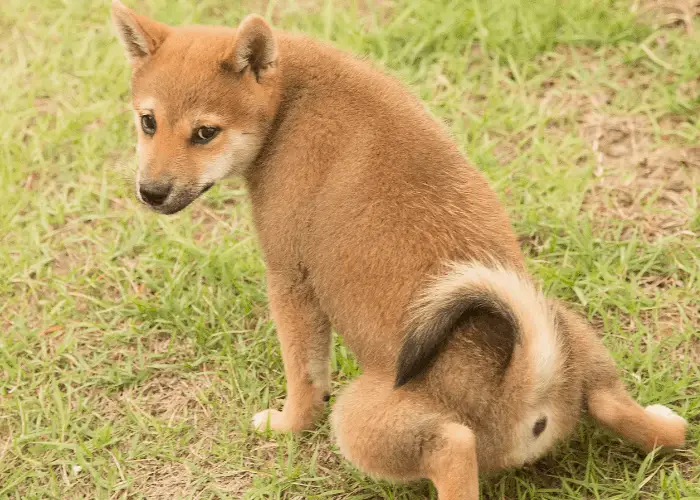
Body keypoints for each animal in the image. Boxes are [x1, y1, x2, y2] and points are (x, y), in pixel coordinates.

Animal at [112, 1, 688, 498]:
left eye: (205, 133)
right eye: (148, 122)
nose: (151, 192)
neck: (290, 101)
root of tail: (522, 389)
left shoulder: (289, 279)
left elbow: (304, 375)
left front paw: (286, 425)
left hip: (364, 419)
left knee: (453, 449)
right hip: (571, 336)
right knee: (641, 421)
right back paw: (665, 419)